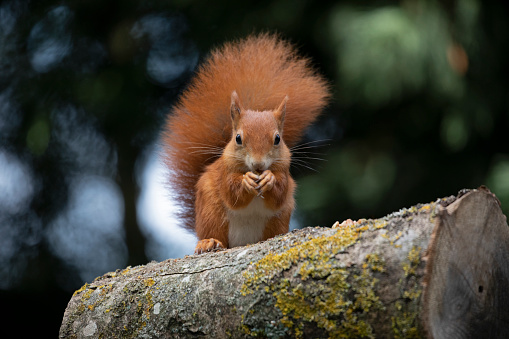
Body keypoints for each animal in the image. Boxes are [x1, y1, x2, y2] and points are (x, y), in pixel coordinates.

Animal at [162, 33, 330, 254]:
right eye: (238, 138)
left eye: (277, 139)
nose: (258, 166)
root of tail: (242, 242)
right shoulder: (224, 172)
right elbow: (231, 192)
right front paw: (246, 181)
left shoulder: (284, 171)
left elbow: (279, 192)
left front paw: (269, 179)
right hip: (211, 212)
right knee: (214, 232)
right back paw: (208, 242)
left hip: (279, 218)